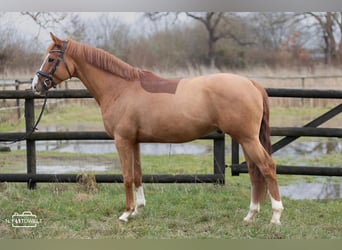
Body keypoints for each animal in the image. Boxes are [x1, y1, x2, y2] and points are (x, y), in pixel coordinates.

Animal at [31, 32, 284, 225]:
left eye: (51, 59)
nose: (36, 85)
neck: (120, 88)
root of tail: (251, 83)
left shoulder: (122, 141)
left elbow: (126, 176)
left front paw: (125, 213)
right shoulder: (134, 141)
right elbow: (137, 174)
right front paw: (138, 209)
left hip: (248, 138)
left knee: (267, 167)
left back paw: (275, 217)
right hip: (245, 139)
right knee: (255, 171)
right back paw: (250, 215)